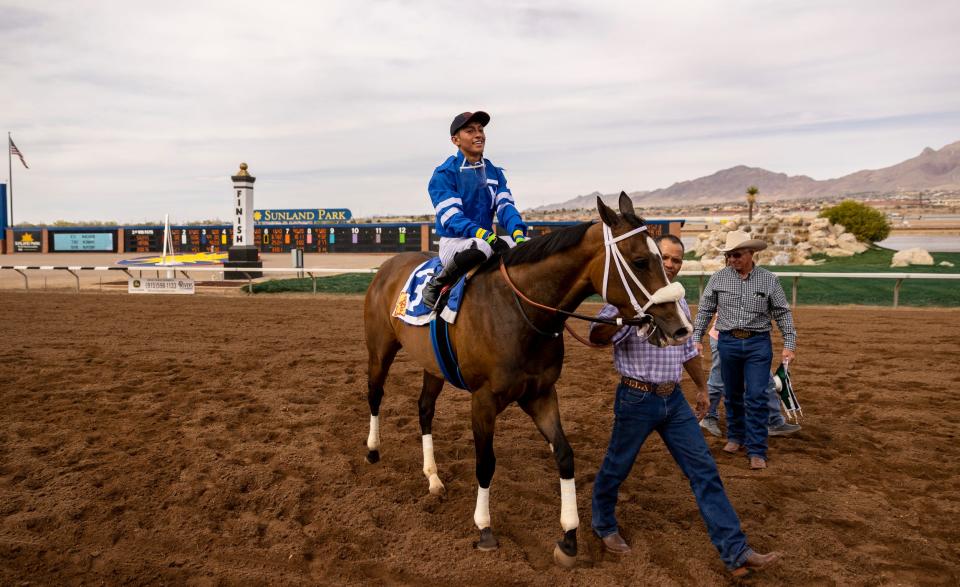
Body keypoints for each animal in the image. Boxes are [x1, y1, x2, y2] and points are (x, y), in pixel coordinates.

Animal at [362, 195, 688, 568]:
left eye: (663, 259)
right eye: (640, 261)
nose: (680, 327)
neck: (521, 312)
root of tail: (387, 266)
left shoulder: (541, 394)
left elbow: (564, 454)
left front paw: (569, 536)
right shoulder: (483, 399)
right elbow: (485, 463)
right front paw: (484, 528)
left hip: (433, 366)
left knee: (425, 410)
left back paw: (433, 477)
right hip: (380, 349)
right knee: (375, 394)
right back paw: (372, 449)